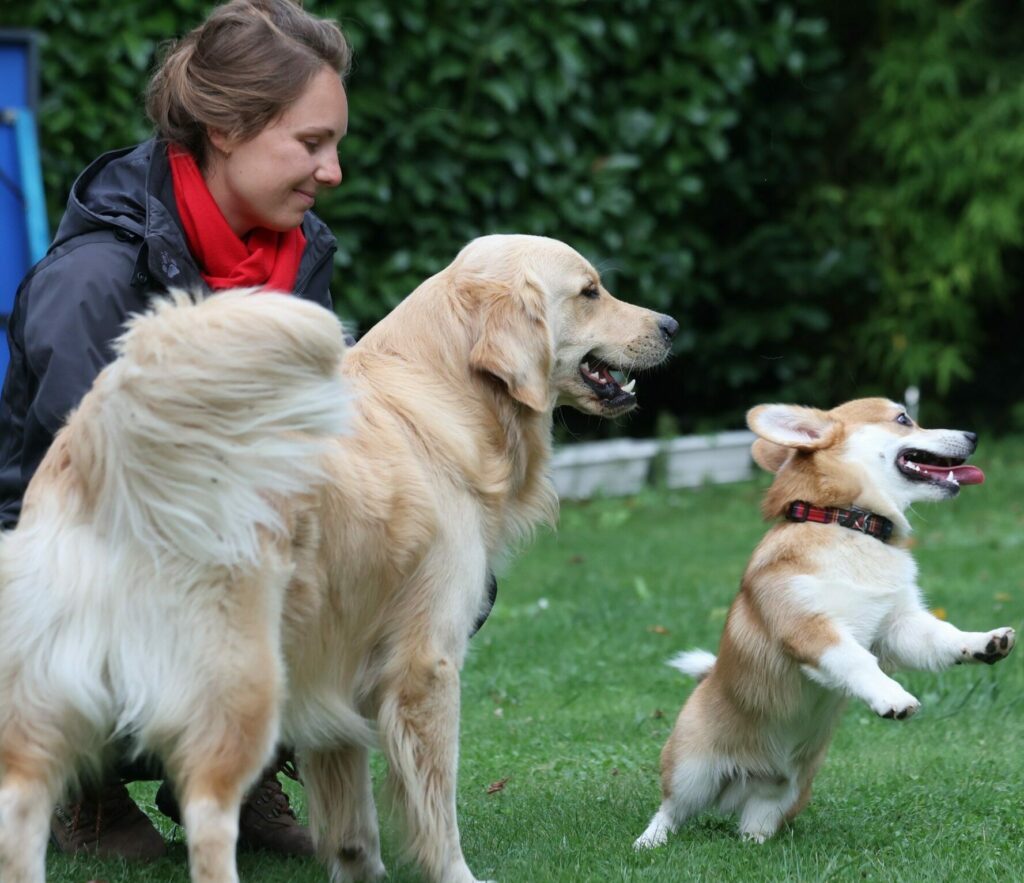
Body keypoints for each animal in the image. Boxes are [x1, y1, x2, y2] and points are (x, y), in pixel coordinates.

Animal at [0, 235, 679, 883]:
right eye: (590, 292)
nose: (671, 323)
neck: (445, 387)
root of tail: (107, 453)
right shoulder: (426, 664)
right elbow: (436, 805)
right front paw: (455, 875)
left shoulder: (333, 662)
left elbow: (351, 809)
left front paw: (359, 869)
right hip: (240, 684)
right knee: (206, 812)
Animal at [634, 399, 1011, 852]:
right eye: (903, 419)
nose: (973, 436)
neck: (847, 522)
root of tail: (743, 782)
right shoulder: (810, 626)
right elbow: (856, 660)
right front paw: (893, 697)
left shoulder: (898, 627)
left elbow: (942, 637)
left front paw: (986, 642)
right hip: (693, 769)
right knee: (673, 810)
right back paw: (649, 843)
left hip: (791, 789)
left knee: (756, 823)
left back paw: (756, 843)